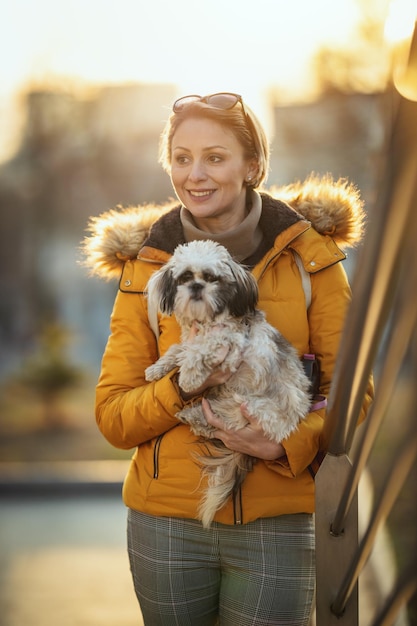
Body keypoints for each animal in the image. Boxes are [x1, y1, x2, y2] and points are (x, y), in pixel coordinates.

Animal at [145, 240, 310, 528]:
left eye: (211, 278)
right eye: (185, 277)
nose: (196, 286)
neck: (207, 320)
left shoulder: (230, 343)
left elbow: (200, 349)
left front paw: (188, 376)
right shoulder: (192, 339)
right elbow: (179, 349)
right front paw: (158, 368)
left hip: (251, 406)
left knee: (226, 422)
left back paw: (196, 415)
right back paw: (191, 414)